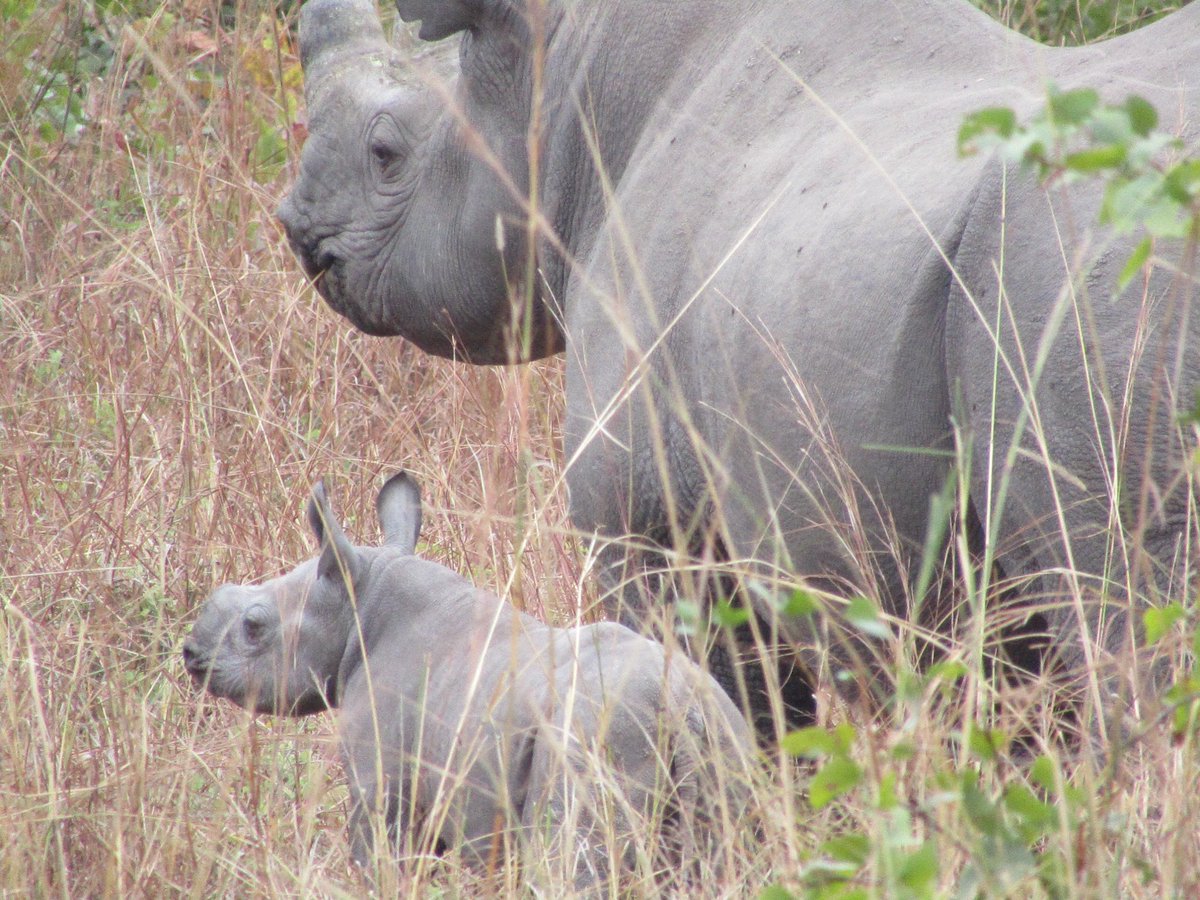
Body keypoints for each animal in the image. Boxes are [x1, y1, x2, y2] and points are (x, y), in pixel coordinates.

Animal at [181, 473, 752, 888]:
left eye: (254, 626)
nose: (190, 654)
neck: (359, 600)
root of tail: (682, 709)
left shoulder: (380, 780)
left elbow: (381, 863)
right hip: (724, 736)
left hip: (596, 738)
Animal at [276, 0, 1200, 728]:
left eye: (386, 152)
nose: (294, 222)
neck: (562, 77)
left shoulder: (652, 531)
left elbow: (714, 707)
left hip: (1092, 264)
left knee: (1124, 629)